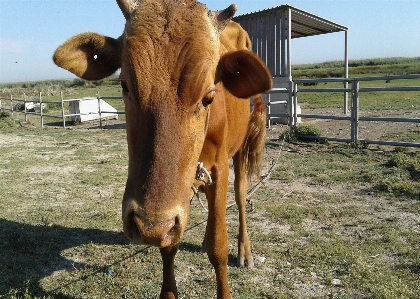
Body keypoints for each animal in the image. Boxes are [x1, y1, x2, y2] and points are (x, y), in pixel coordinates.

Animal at [54, 1, 272, 298]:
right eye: (124, 85)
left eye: (209, 96)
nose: (148, 226)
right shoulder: (175, 203)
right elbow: (169, 245)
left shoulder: (218, 170)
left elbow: (219, 247)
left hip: (239, 151)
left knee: (239, 197)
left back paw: (245, 250)